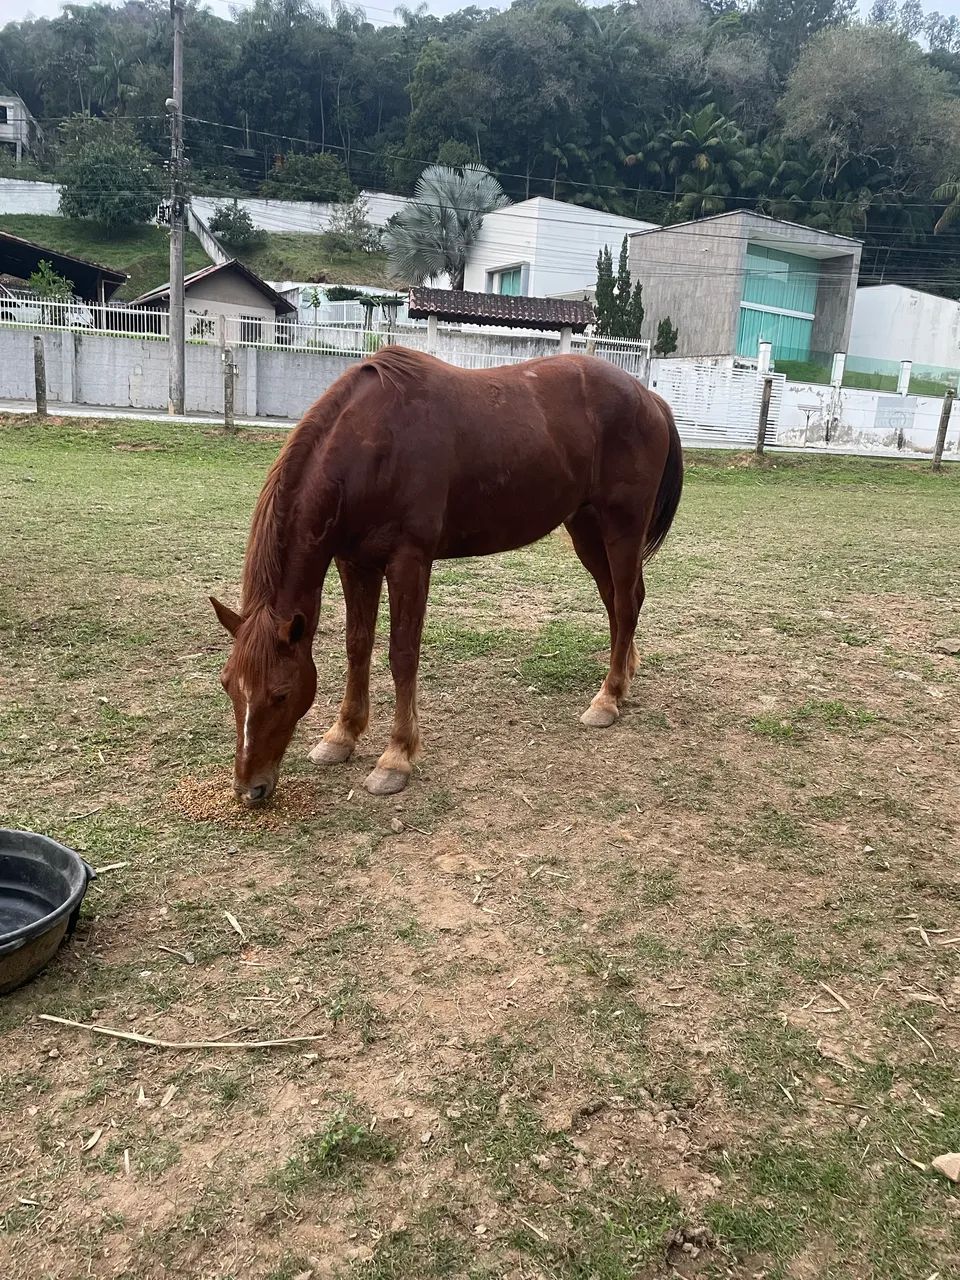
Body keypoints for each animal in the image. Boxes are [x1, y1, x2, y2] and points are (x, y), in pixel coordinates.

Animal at [211, 346, 683, 806]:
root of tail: (649, 398)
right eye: (228, 686)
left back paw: (608, 698)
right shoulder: (354, 563)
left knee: (625, 601)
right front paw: (342, 735)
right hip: (585, 527)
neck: (370, 445)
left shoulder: (409, 562)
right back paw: (623, 676)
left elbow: (402, 655)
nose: (249, 790)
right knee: (617, 600)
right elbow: (357, 646)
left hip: (622, 526)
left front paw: (396, 757)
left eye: (281, 693)